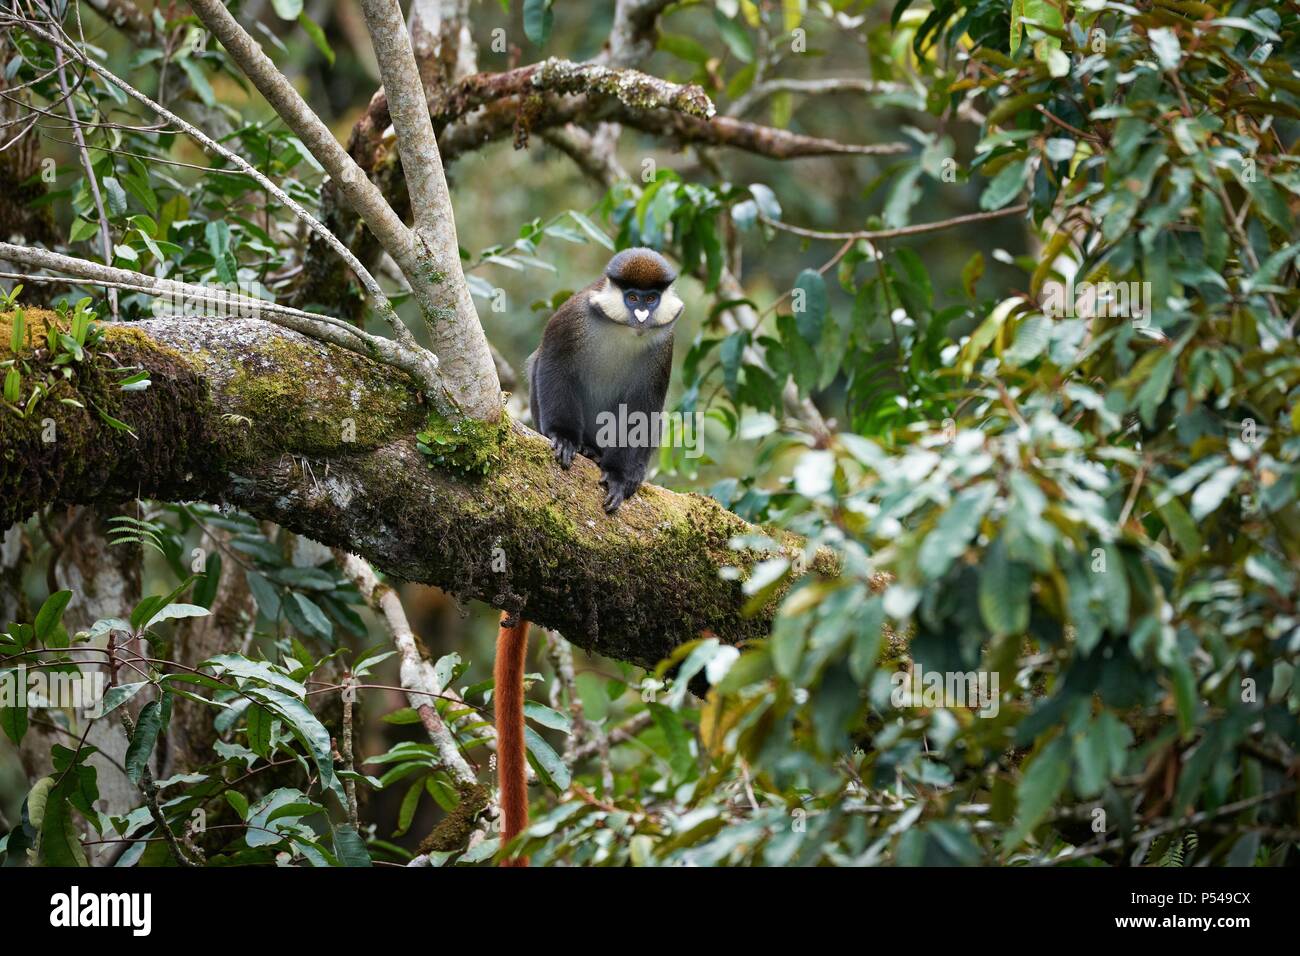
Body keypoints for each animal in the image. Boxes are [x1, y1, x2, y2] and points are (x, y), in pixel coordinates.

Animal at [491, 249, 683, 866]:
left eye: (652, 297)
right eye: (631, 295)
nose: (642, 313)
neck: (625, 334)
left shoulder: (663, 351)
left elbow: (645, 411)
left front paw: (624, 479)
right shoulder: (571, 323)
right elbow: (550, 365)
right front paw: (563, 439)